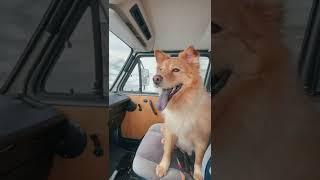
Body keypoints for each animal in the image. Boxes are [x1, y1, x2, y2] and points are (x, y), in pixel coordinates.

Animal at [154, 46, 211, 180]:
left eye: (176, 70)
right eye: (161, 69)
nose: (155, 78)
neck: (183, 106)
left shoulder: (202, 140)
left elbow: (199, 160)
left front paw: (198, 174)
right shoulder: (171, 131)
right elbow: (167, 152)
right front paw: (163, 166)